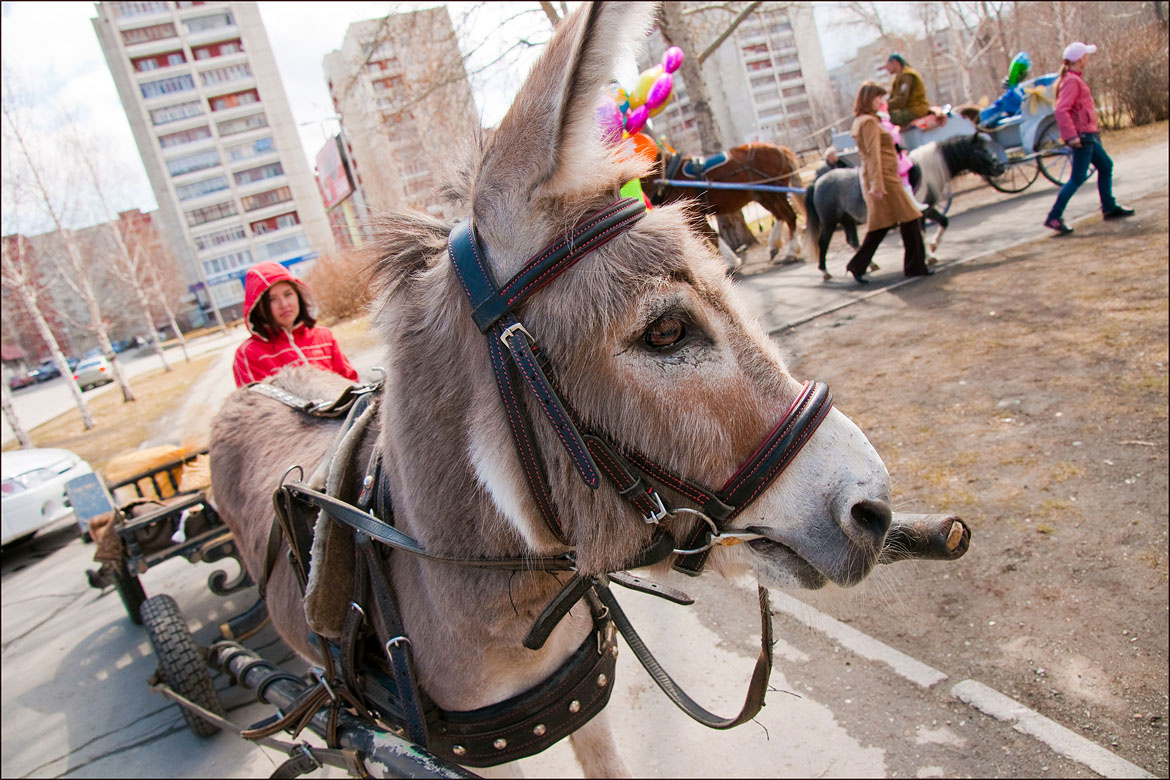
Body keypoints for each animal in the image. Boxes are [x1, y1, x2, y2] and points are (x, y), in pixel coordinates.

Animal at [645, 143, 809, 268]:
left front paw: (729, 262)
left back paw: (791, 252)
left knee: (789, 216)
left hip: (774, 192)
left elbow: (711, 236)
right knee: (781, 216)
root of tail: (779, 148)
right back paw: (774, 246)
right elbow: (708, 236)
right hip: (764, 195)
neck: (667, 175)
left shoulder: (692, 212)